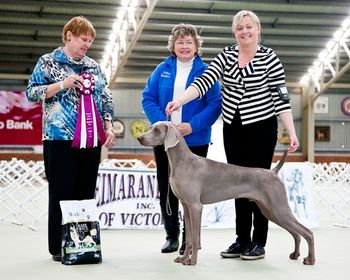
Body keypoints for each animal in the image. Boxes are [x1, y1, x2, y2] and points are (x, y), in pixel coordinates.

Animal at [138, 121, 316, 266]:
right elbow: (188, 238)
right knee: (296, 233)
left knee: (307, 232)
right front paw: (183, 258)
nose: (139, 138)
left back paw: (310, 259)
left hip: (278, 207)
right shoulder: (187, 207)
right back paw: (295, 254)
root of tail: (273, 172)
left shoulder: (196, 207)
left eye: (157, 130)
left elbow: (194, 238)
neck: (182, 161)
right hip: (270, 211)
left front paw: (192, 261)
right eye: (151, 128)